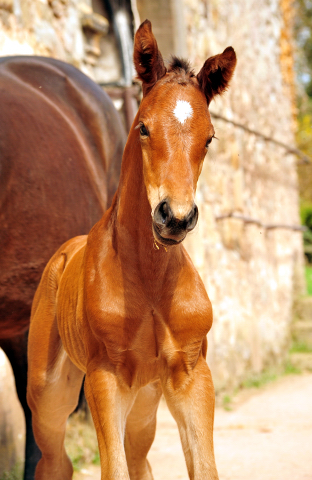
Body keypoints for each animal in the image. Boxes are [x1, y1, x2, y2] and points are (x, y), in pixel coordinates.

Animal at [27, 19, 236, 480]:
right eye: (143, 126)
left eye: (209, 139)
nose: (175, 217)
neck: (150, 281)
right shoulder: (105, 380)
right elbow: (114, 469)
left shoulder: (191, 376)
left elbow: (204, 468)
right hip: (51, 397)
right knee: (55, 461)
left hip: (145, 400)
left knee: (139, 458)